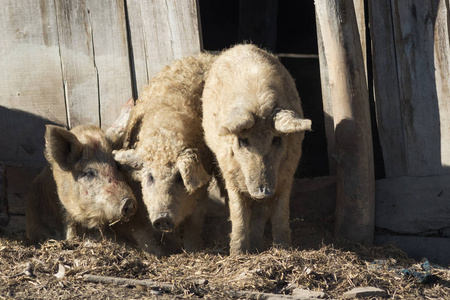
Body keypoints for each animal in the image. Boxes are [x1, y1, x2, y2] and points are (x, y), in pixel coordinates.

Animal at [113, 52, 217, 253]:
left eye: (179, 178)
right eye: (150, 177)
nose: (162, 218)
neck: (164, 138)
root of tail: (205, 55)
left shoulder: (202, 184)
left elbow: (195, 220)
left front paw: (192, 250)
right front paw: (163, 251)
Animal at [201, 44, 312, 255]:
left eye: (276, 139)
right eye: (243, 141)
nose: (263, 191)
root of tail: (242, 45)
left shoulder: (288, 172)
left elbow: (280, 213)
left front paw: (284, 249)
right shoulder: (229, 172)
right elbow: (238, 214)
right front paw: (237, 254)